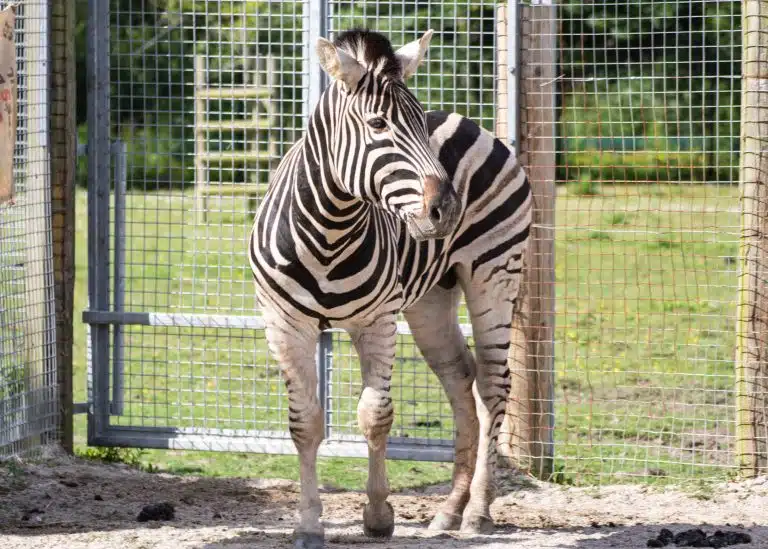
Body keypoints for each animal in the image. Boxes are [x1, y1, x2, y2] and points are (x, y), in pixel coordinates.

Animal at [249, 28, 531, 548]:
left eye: (421, 124)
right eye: (377, 124)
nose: (448, 209)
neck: (329, 230)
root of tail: (464, 119)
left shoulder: (377, 321)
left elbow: (375, 415)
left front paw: (378, 516)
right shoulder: (283, 324)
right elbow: (304, 423)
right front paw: (308, 523)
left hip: (495, 272)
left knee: (493, 384)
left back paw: (477, 512)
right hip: (432, 298)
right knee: (460, 378)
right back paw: (448, 511)